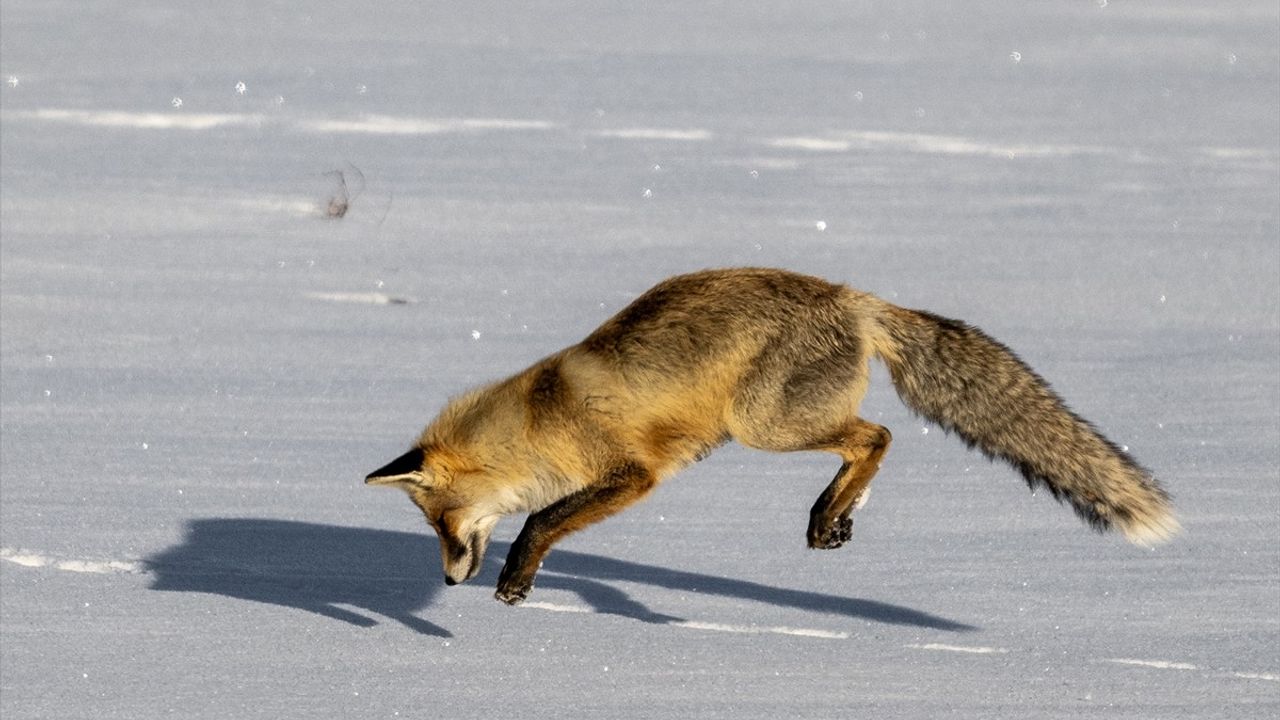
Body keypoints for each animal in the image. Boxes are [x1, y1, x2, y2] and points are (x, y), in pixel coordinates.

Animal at [366, 266, 1172, 602]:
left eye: (440, 522)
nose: (449, 580)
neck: (539, 419)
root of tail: (853, 297)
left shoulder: (631, 475)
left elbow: (541, 520)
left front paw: (516, 580)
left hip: (761, 424)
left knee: (878, 434)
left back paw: (825, 516)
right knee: (870, 440)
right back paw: (837, 518)